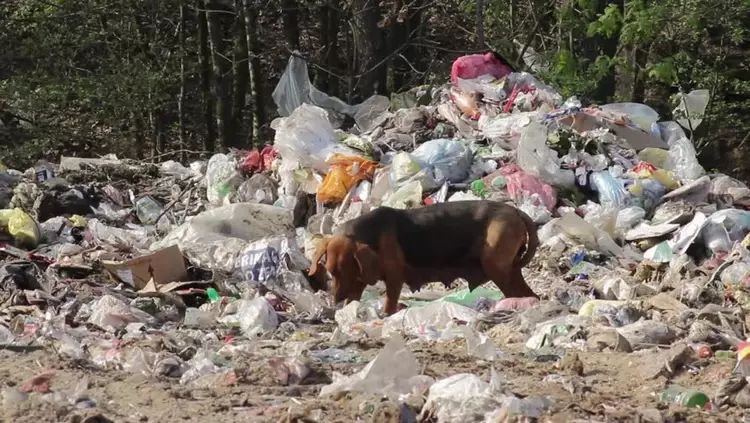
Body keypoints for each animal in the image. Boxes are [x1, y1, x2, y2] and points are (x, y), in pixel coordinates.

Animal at [308, 201, 536, 314]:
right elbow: (355, 297)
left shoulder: (394, 279)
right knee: (529, 294)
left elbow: (389, 304)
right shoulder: (359, 281)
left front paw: (387, 316)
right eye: (330, 271)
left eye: (345, 269)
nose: (336, 300)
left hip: (497, 268)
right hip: (510, 270)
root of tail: (515, 211)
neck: (368, 234)